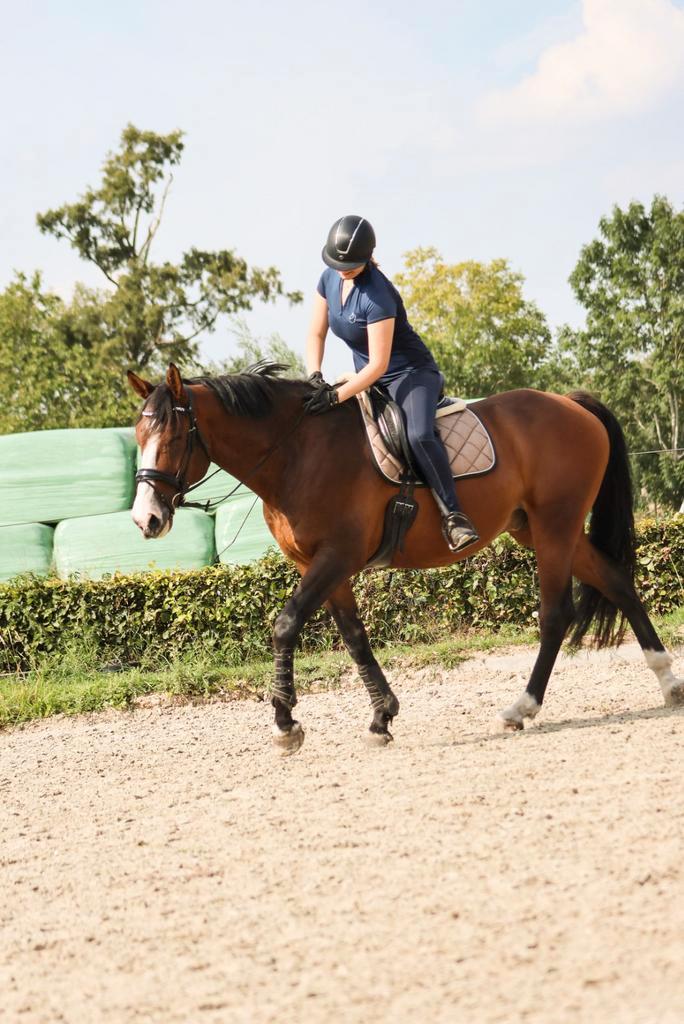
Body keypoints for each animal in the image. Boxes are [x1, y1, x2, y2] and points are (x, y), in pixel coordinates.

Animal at [127, 362, 683, 752]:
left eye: (173, 437)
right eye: (137, 436)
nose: (145, 519)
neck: (296, 453)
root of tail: (571, 404)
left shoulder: (338, 556)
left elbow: (285, 625)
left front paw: (286, 724)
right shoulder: (322, 567)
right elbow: (354, 638)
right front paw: (382, 717)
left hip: (555, 527)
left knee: (555, 615)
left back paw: (522, 707)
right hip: (539, 529)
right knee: (618, 582)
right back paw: (668, 681)